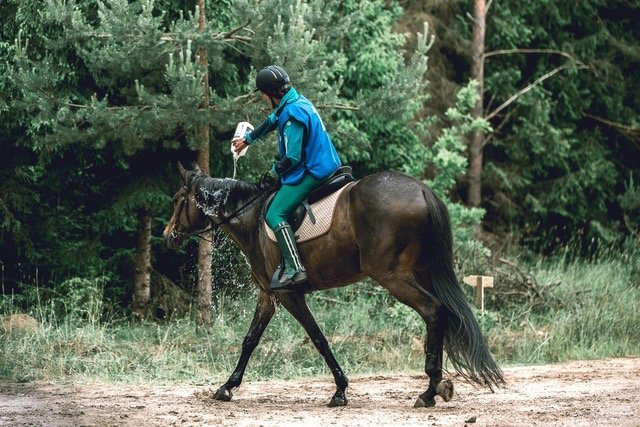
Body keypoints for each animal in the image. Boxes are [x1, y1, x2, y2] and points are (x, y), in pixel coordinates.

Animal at [164, 163, 504, 408]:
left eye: (179, 200)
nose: (168, 236)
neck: (253, 217)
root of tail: (421, 190)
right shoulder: (268, 294)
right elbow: (250, 340)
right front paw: (227, 386)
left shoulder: (289, 294)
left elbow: (318, 338)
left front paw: (340, 390)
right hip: (419, 273)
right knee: (444, 313)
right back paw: (436, 386)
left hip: (392, 277)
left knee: (434, 311)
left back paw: (430, 390)